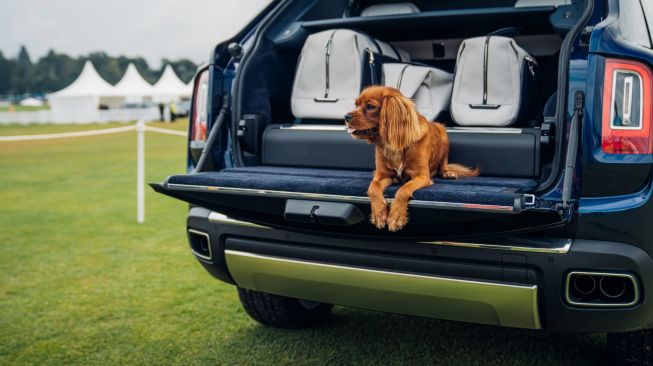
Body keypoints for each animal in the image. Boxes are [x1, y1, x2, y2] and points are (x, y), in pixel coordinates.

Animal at [344, 86, 476, 232]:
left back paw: (448, 173)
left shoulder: (422, 177)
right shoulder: (382, 176)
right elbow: (372, 188)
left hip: (443, 133)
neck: (393, 145)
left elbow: (403, 190)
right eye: (356, 104)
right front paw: (379, 214)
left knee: (443, 165)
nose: (346, 116)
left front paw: (396, 217)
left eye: (370, 106)